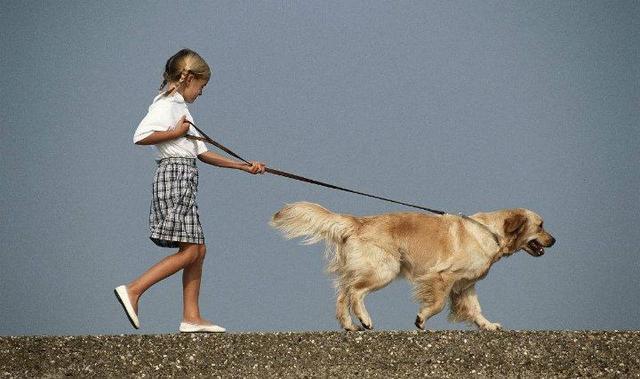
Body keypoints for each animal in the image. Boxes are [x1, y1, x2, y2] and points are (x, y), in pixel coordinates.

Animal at [270, 202, 556, 332]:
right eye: (541, 225)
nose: (554, 240)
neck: (492, 233)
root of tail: (358, 222)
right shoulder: (443, 276)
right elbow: (437, 304)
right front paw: (421, 318)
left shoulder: (465, 285)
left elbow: (475, 309)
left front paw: (488, 326)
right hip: (385, 269)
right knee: (355, 292)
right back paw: (364, 319)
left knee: (343, 293)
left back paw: (349, 325)